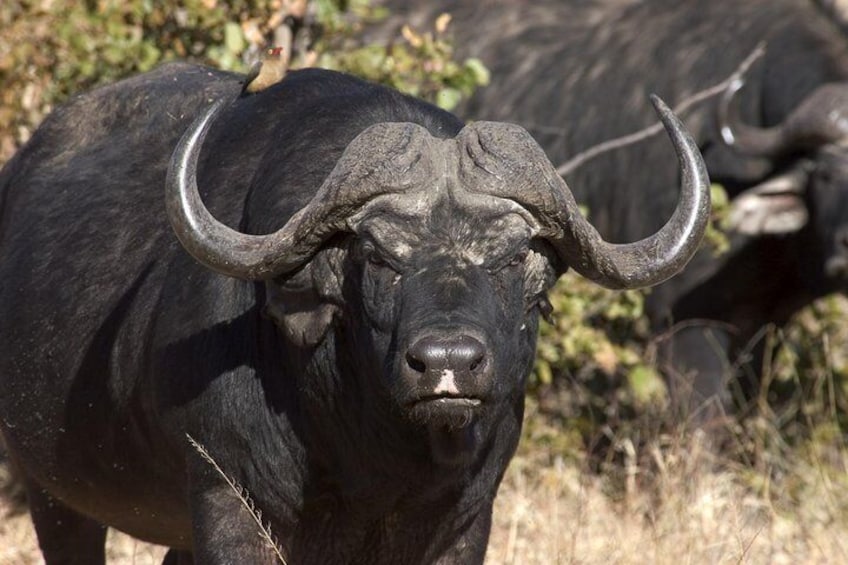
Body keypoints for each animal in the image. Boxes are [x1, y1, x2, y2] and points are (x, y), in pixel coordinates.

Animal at [0, 62, 704, 560]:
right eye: (378, 256)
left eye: (512, 259)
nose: (447, 365)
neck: (370, 455)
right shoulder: (230, 507)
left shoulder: (466, 521)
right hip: (54, 496)